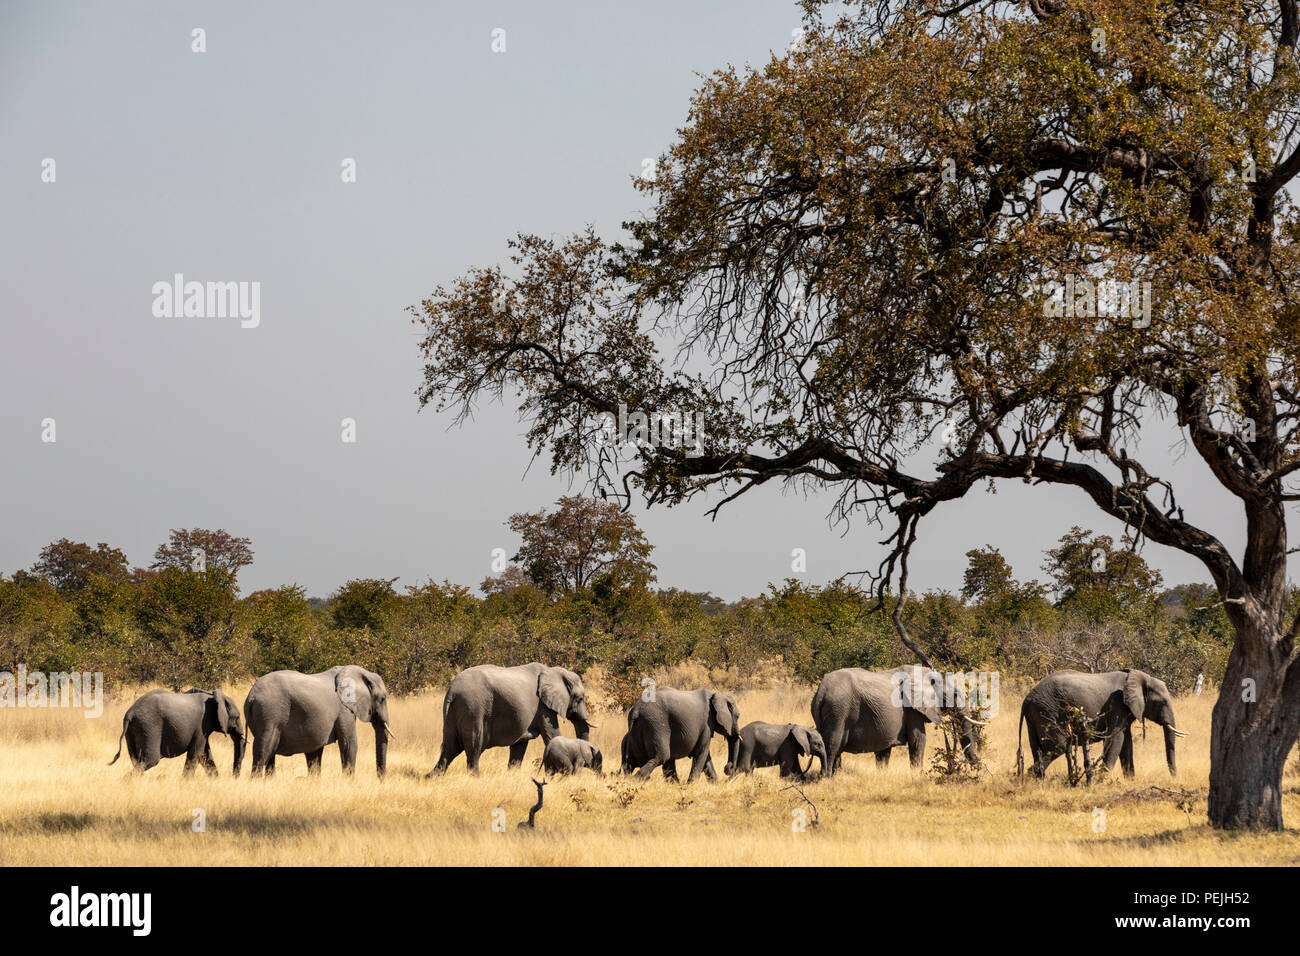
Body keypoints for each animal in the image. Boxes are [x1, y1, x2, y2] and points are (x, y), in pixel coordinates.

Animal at [109, 691, 244, 775]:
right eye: (237, 717)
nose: (233, 777)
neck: (213, 696)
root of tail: (130, 713)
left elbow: (205, 755)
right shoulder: (202, 726)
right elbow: (196, 753)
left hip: (134, 730)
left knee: (135, 759)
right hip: (150, 726)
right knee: (150, 760)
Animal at [241, 665, 387, 780]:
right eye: (383, 699)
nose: (380, 780)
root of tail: (251, 696)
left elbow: (314, 751)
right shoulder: (344, 709)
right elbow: (348, 743)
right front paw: (349, 782)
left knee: (269, 754)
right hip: (270, 713)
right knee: (264, 749)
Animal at [428, 665, 592, 780]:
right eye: (579, 699)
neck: (554, 671)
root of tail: (452, 690)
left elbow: (520, 744)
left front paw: (512, 775)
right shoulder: (543, 707)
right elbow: (552, 735)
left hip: (455, 711)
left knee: (450, 747)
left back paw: (431, 777)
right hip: (473, 707)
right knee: (474, 746)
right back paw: (476, 778)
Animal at [806, 671, 977, 775]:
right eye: (955, 695)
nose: (976, 767)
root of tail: (821, 691)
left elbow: (883, 749)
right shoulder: (911, 709)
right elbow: (918, 740)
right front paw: (918, 776)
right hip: (838, 710)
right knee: (832, 746)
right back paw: (827, 777)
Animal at [1013, 671, 1190, 780]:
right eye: (1163, 702)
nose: (1175, 778)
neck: (1139, 676)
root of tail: (1026, 700)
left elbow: (1126, 743)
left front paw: (1130, 781)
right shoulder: (1117, 705)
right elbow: (1116, 739)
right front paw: (1101, 781)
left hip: (1035, 715)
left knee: (1038, 749)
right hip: (1047, 711)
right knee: (1059, 747)